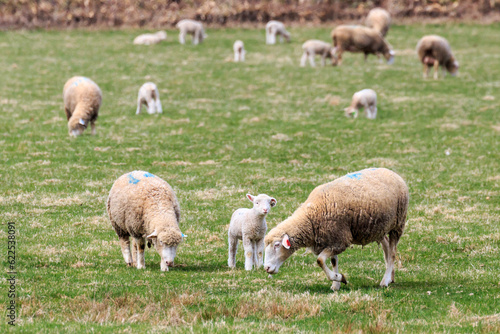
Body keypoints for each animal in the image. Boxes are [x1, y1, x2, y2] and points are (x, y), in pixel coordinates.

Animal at [264, 168, 408, 290]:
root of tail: (392, 172)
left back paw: (385, 281)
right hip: (379, 228)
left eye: (277, 245)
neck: (310, 217)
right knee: (386, 248)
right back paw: (390, 277)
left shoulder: (340, 240)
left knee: (392, 253)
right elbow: (333, 261)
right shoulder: (331, 239)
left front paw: (340, 278)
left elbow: (320, 260)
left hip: (398, 224)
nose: (266, 268)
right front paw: (336, 285)